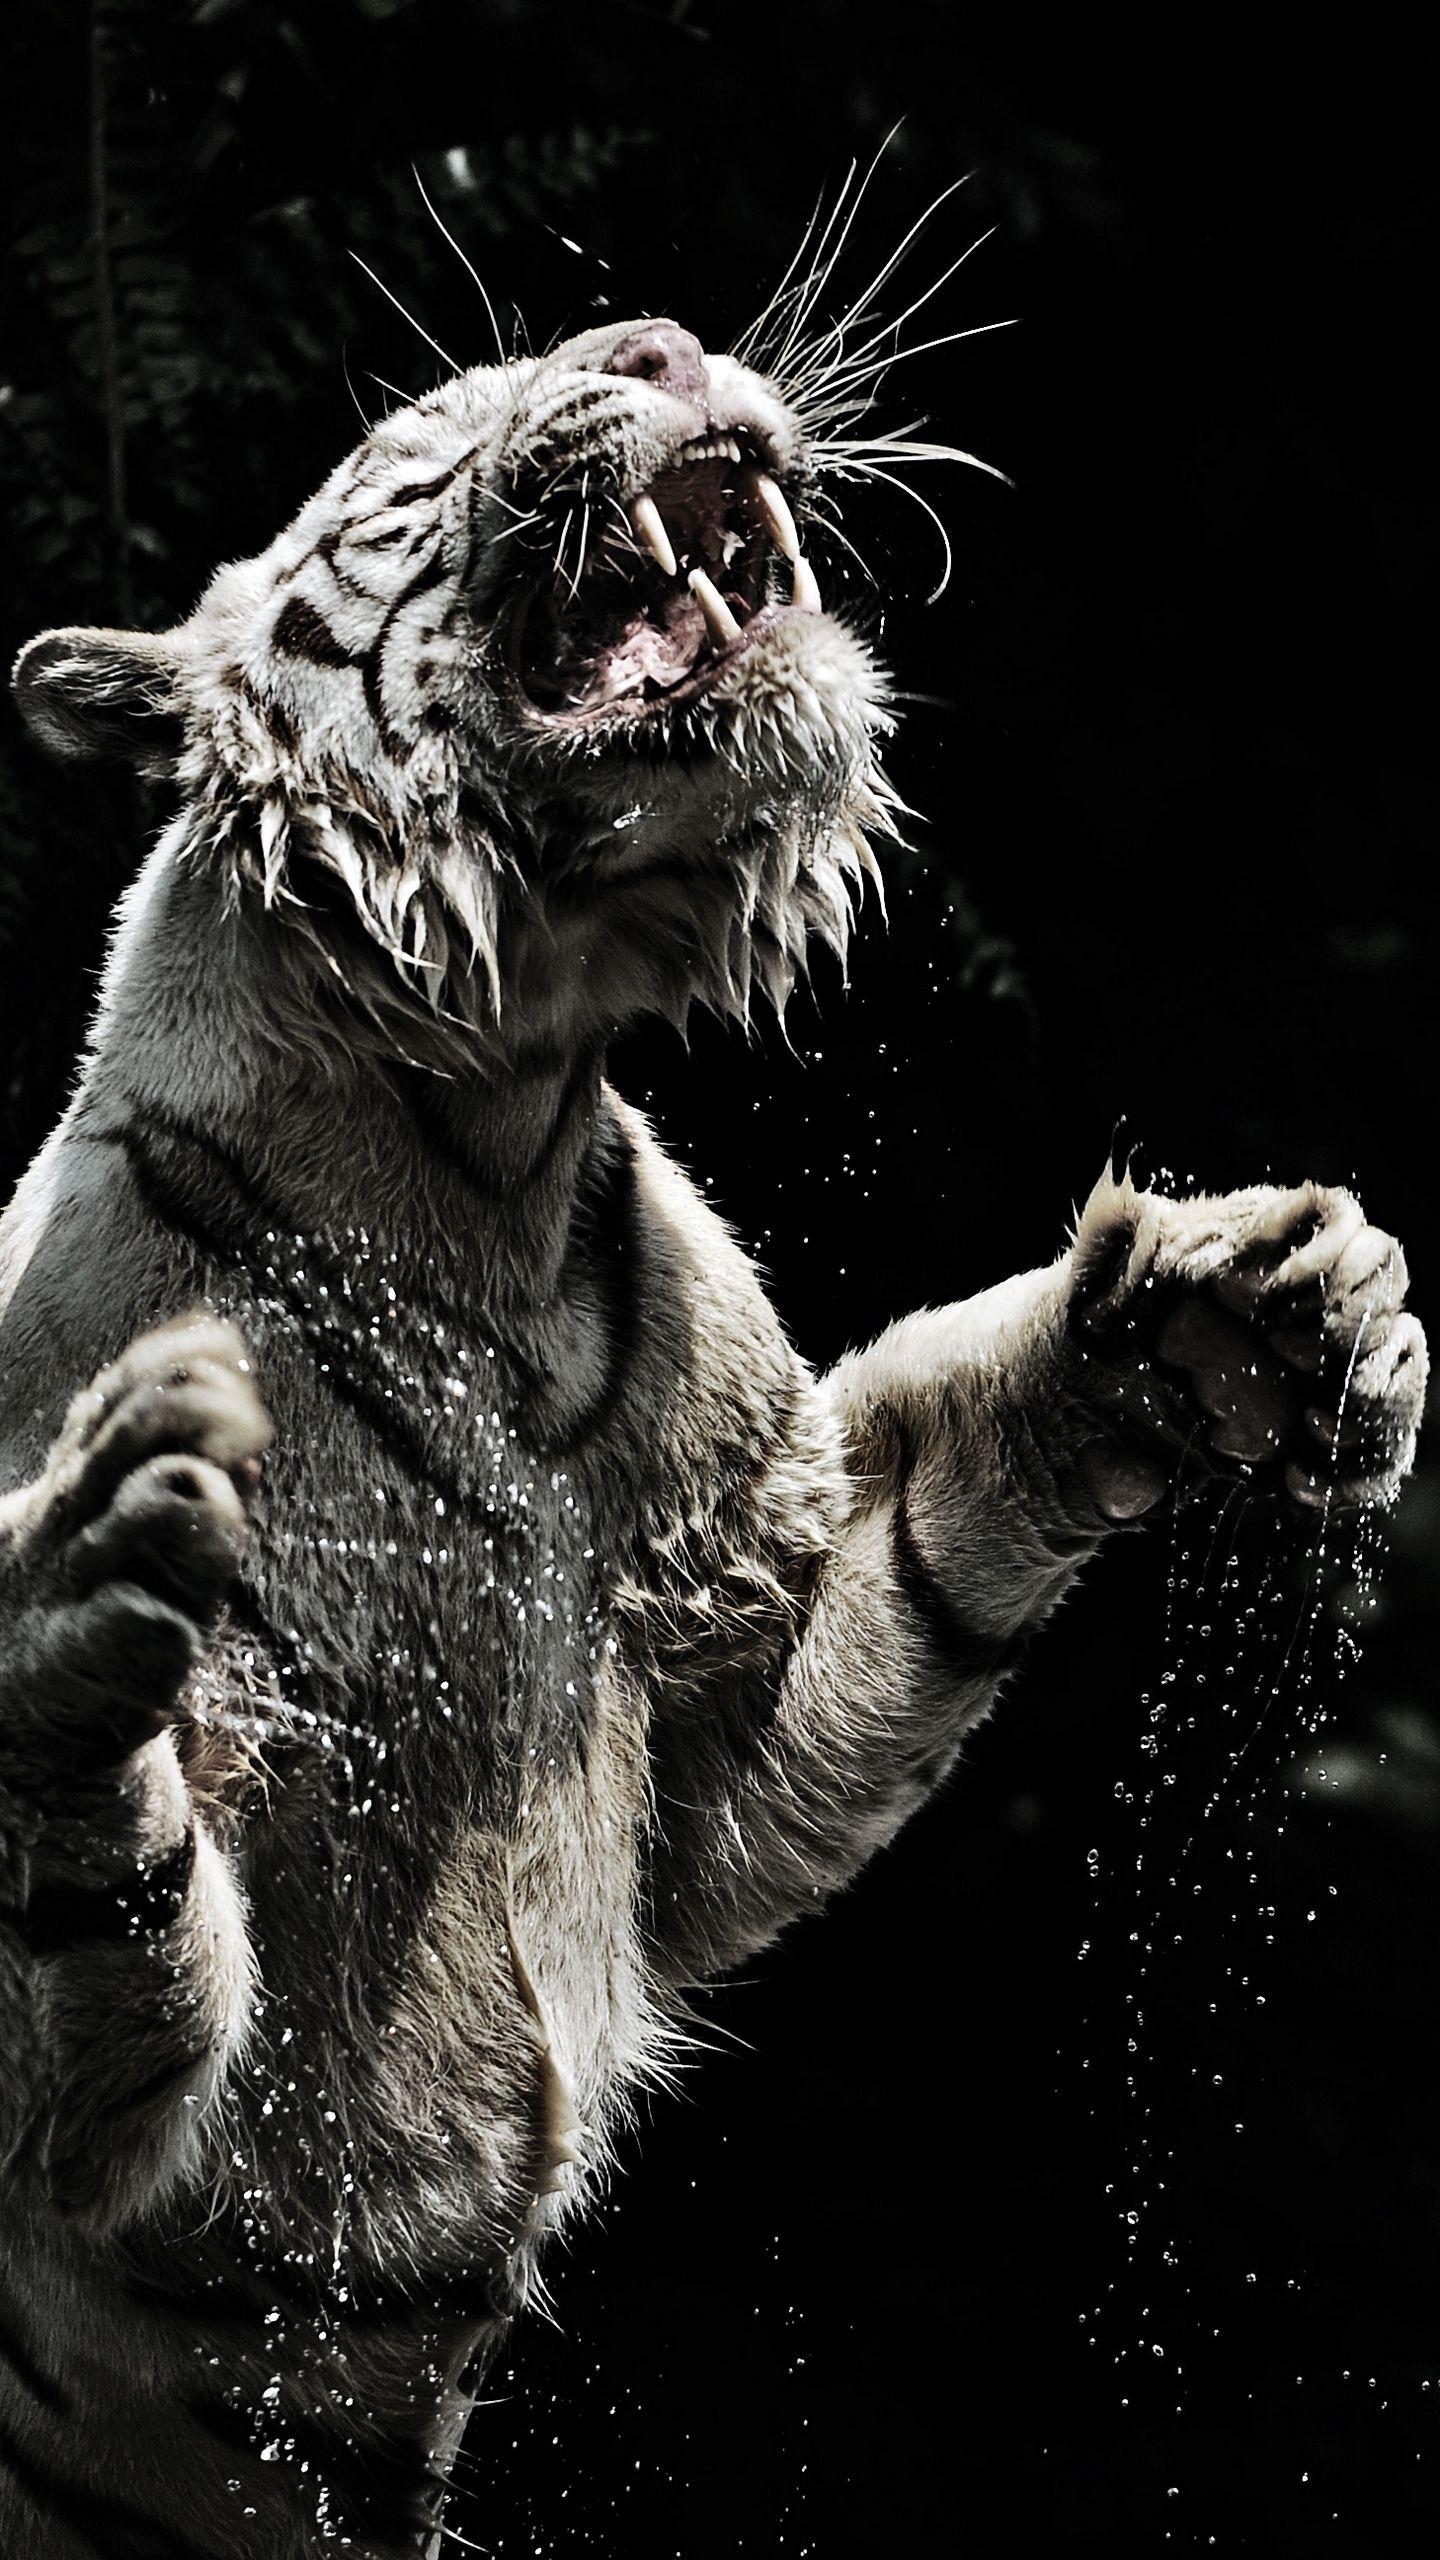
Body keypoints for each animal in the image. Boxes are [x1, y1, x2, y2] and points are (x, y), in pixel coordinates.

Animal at [0, 309, 1426, 2560]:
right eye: (422, 433)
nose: (662, 339)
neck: (487, 1137)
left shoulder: (723, 1670)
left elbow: (936, 1525)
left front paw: (1256, 1307)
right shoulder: (144, 2127)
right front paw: (81, 1584)